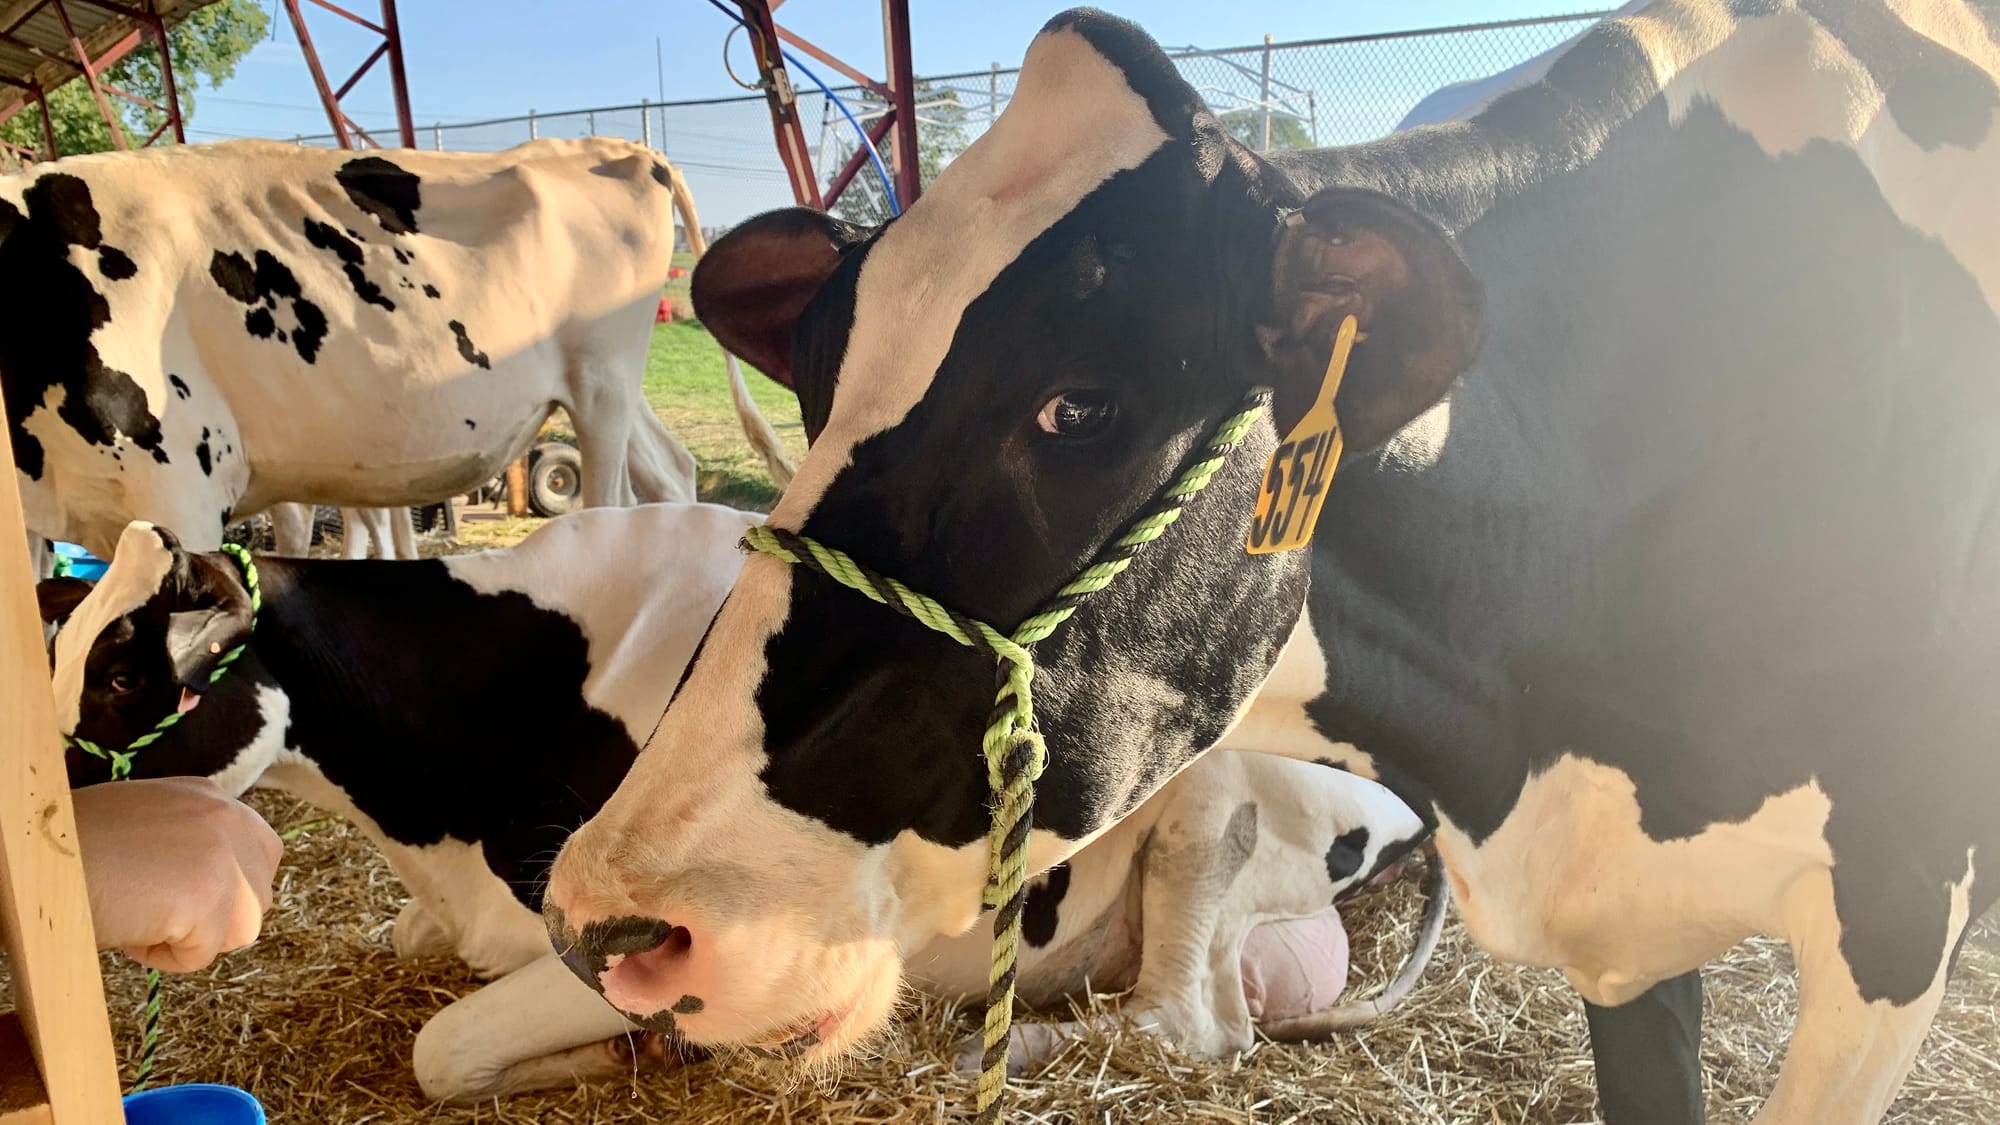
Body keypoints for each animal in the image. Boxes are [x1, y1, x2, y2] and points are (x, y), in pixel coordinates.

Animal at [2, 137, 791, 560]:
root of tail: (620, 149)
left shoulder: (180, 491)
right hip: (609, 388)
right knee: (670, 473)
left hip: (601, 386)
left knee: (613, 510)